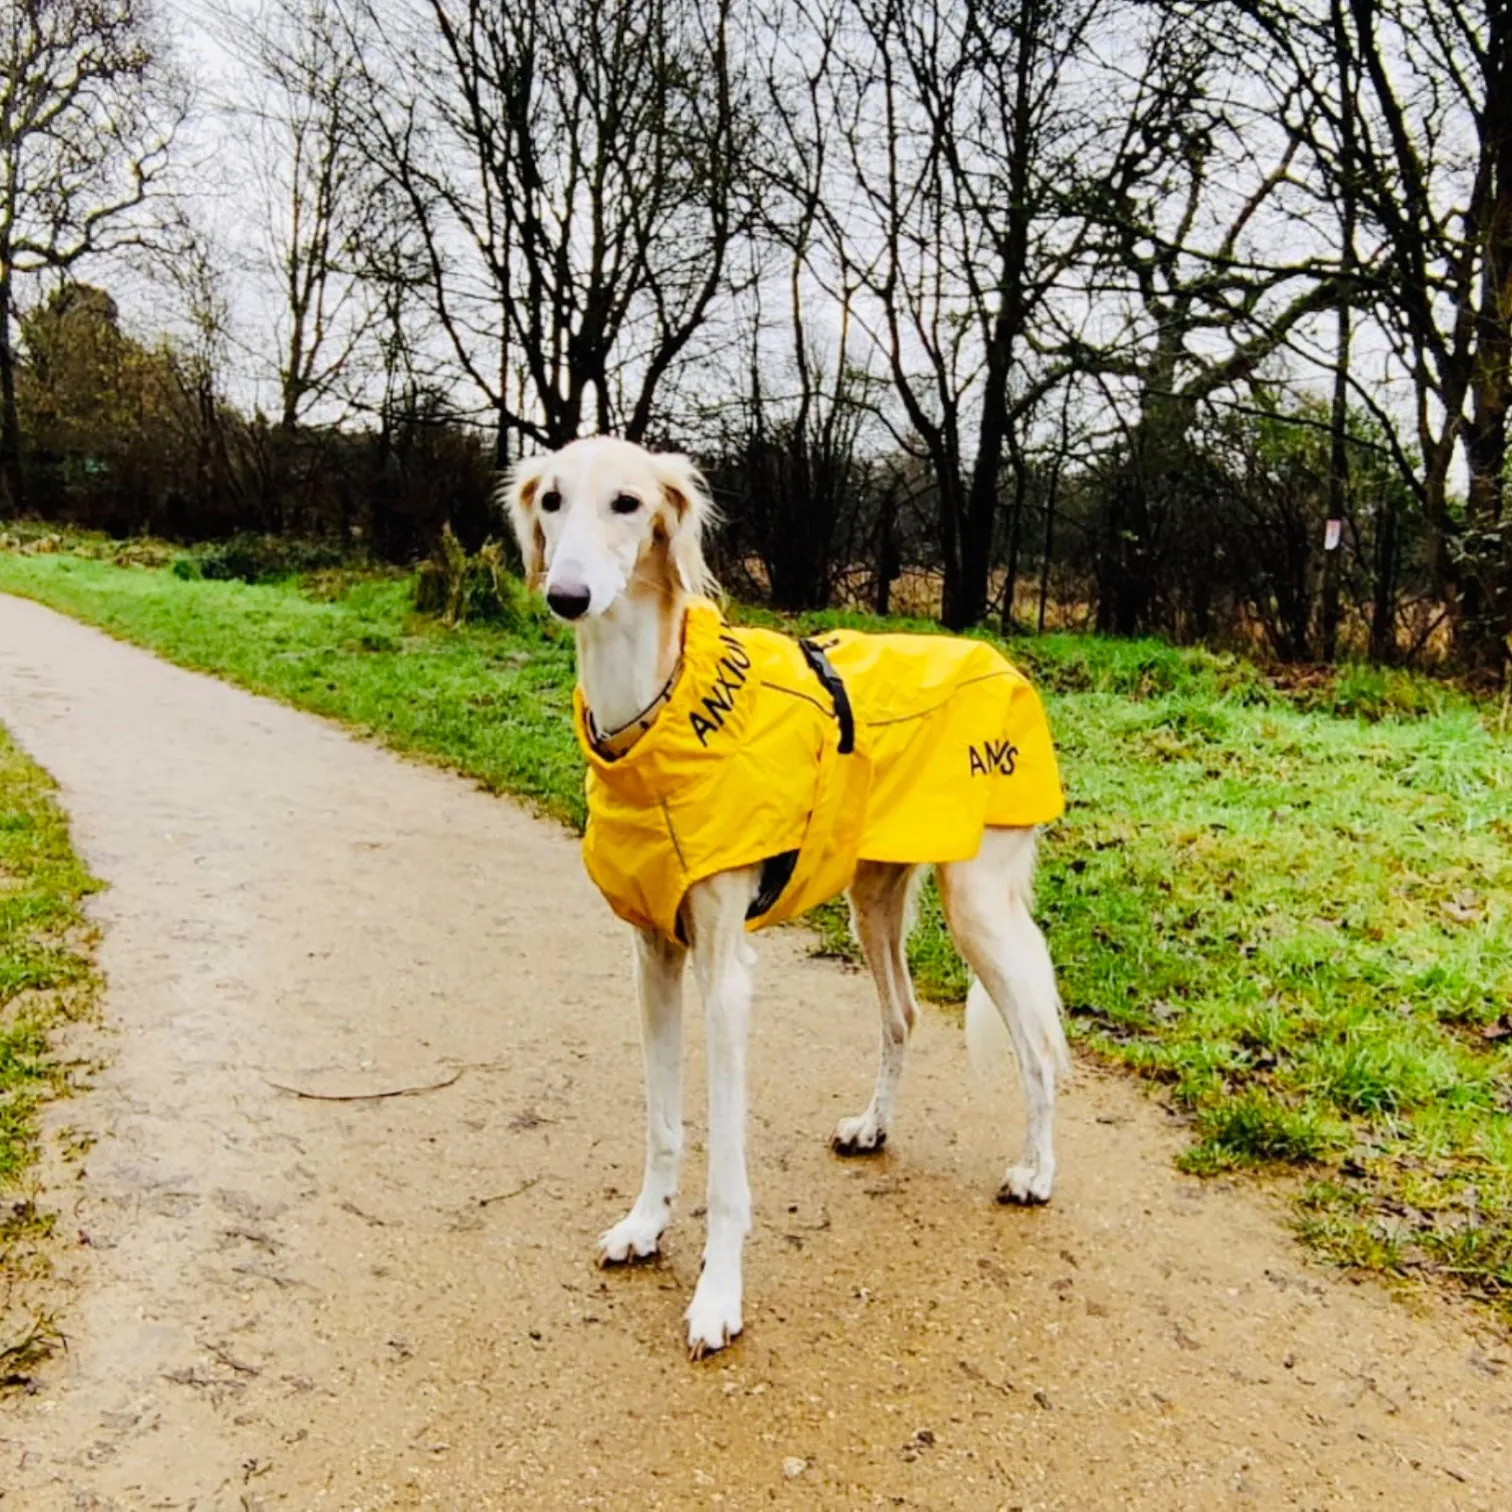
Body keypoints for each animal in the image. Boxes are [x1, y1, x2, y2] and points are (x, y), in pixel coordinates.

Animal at [501, 435, 1070, 1360]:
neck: (658, 711)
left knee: (1039, 1047)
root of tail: (999, 659)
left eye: (628, 502)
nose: (568, 595)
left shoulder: (725, 975)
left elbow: (728, 1169)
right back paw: (875, 1125)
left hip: (979, 905)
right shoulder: (654, 956)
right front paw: (645, 1225)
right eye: (551, 499)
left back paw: (1036, 1171)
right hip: (873, 899)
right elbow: (663, 1121)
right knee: (902, 1012)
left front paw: (716, 1298)